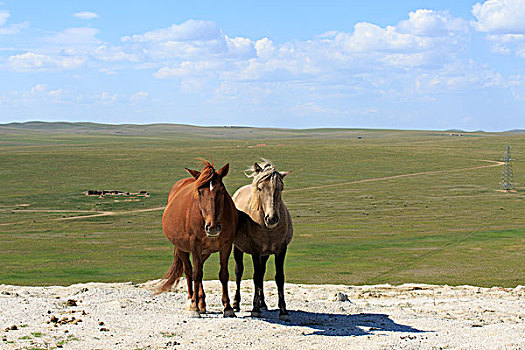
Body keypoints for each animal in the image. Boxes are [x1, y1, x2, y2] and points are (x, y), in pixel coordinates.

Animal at [158, 161, 235, 318]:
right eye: (200, 192)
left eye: (222, 191)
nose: (212, 227)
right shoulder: (195, 246)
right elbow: (196, 274)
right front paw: (194, 307)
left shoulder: (226, 245)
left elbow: (223, 274)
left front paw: (228, 307)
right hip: (181, 248)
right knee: (189, 271)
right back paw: (191, 301)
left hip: (206, 251)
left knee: (199, 269)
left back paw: (201, 302)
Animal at [231, 160, 292, 322]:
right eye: (260, 188)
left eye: (280, 188)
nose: (271, 218)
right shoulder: (255, 251)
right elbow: (256, 278)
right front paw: (255, 309)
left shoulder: (280, 250)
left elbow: (279, 278)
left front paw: (283, 310)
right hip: (238, 249)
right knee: (239, 271)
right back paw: (236, 304)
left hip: (265, 254)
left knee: (263, 272)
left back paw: (263, 303)